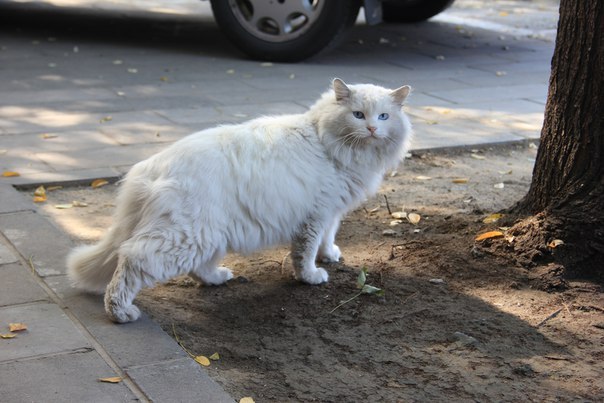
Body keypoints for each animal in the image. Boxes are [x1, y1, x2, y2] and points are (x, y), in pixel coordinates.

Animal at [68, 79, 412, 324]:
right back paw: (120, 312)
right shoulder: (316, 215)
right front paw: (311, 276)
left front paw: (330, 256)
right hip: (184, 236)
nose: (372, 128)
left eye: (383, 116)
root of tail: (150, 167)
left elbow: (328, 239)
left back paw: (218, 278)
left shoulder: (332, 211)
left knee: (197, 269)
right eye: (358, 115)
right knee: (132, 261)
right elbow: (306, 253)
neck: (324, 139)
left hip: (209, 235)